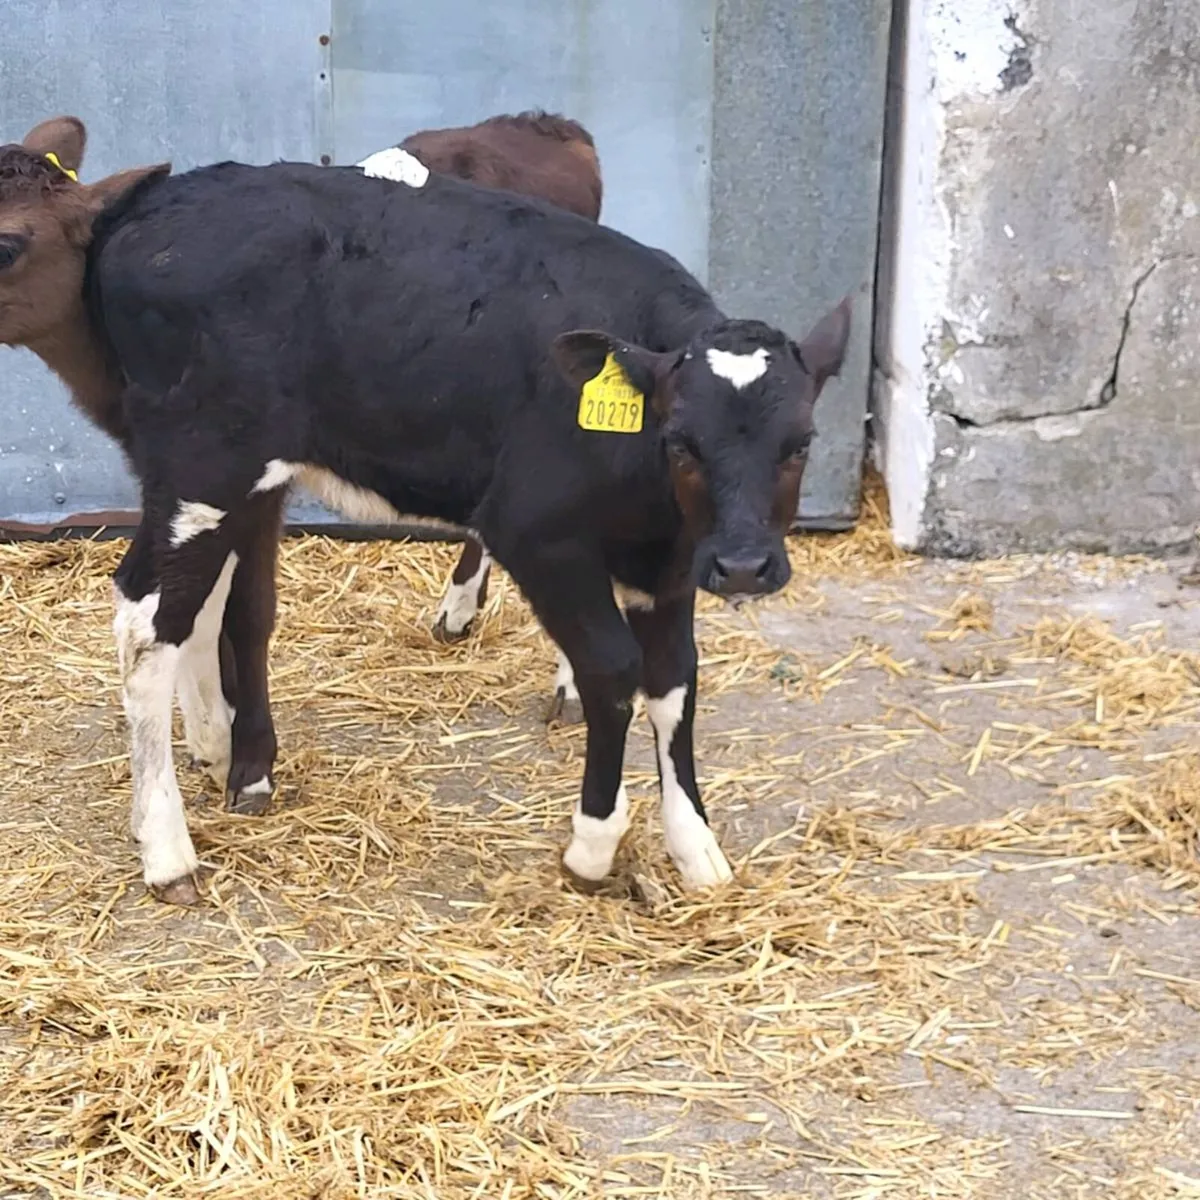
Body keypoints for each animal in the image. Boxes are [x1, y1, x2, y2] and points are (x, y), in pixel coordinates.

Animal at [0, 116, 850, 907]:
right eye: (680, 441)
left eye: (801, 443)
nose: (743, 565)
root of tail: (160, 205)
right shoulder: (539, 535)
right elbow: (613, 669)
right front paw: (594, 845)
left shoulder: (666, 563)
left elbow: (674, 678)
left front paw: (696, 847)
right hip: (205, 463)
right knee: (147, 622)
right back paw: (167, 849)